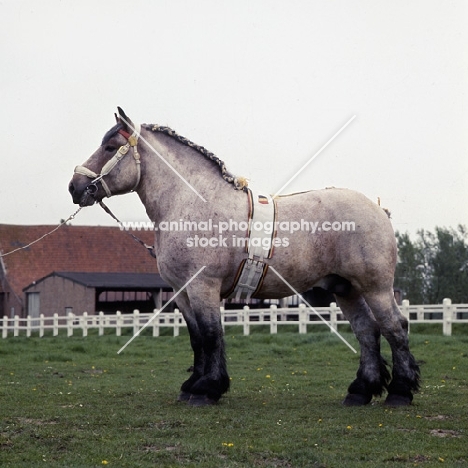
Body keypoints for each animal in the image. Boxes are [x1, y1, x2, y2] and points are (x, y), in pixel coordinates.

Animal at [69, 108, 420, 408]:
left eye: (110, 146)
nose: (75, 187)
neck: (193, 204)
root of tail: (378, 209)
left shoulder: (204, 286)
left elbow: (211, 335)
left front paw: (207, 389)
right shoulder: (182, 292)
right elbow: (197, 338)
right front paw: (192, 386)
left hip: (375, 287)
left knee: (395, 327)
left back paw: (400, 392)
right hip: (345, 289)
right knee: (367, 331)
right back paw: (361, 391)